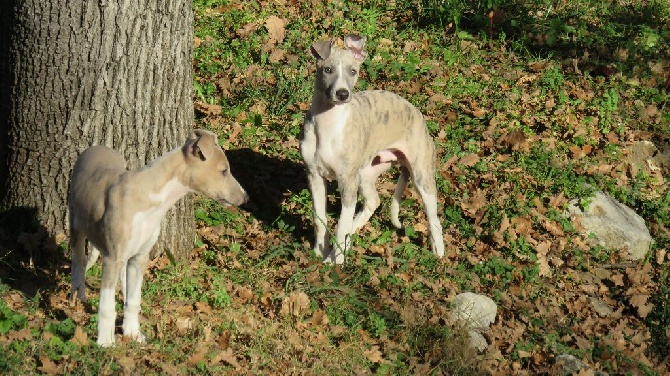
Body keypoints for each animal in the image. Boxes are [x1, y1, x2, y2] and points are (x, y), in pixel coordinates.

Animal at [68, 129, 248, 346]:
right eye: (224, 170)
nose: (245, 198)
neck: (149, 197)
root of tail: (94, 148)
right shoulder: (112, 258)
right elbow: (106, 307)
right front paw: (105, 342)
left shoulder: (140, 257)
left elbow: (134, 300)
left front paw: (132, 332)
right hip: (76, 226)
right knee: (78, 263)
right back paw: (78, 296)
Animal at [300, 35, 446, 264]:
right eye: (328, 69)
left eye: (353, 71)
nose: (342, 94)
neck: (328, 125)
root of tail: (417, 113)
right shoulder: (314, 175)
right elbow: (319, 217)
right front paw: (320, 251)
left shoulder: (347, 181)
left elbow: (341, 225)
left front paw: (336, 262)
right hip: (366, 173)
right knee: (373, 202)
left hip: (421, 176)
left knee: (433, 216)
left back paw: (438, 250)